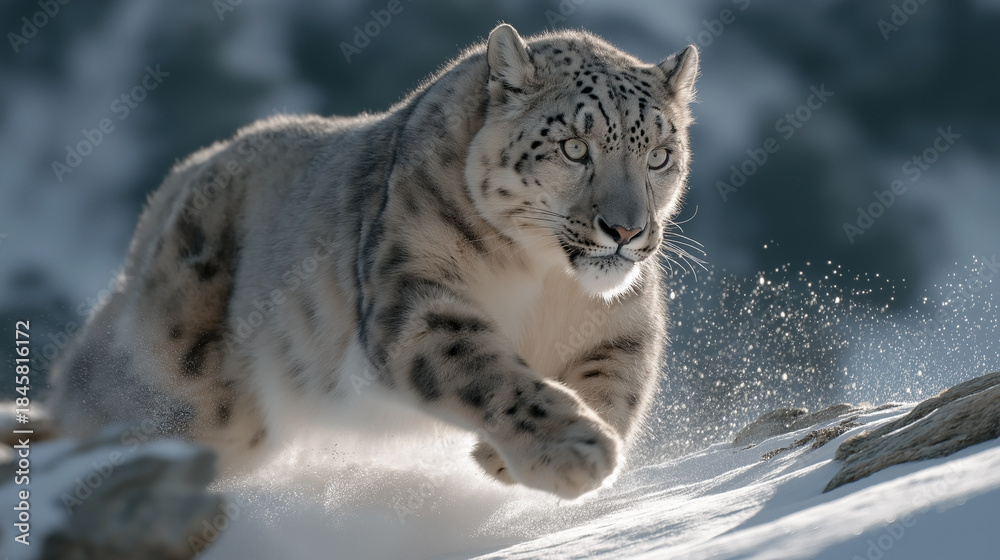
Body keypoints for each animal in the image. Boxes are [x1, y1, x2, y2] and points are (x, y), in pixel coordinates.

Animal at [47, 23, 699, 499]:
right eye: (574, 147)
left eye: (660, 155)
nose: (626, 230)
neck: (546, 280)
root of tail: (175, 185)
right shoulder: (417, 299)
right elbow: (488, 370)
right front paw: (572, 450)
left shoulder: (623, 323)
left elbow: (618, 386)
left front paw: (511, 456)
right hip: (184, 396)